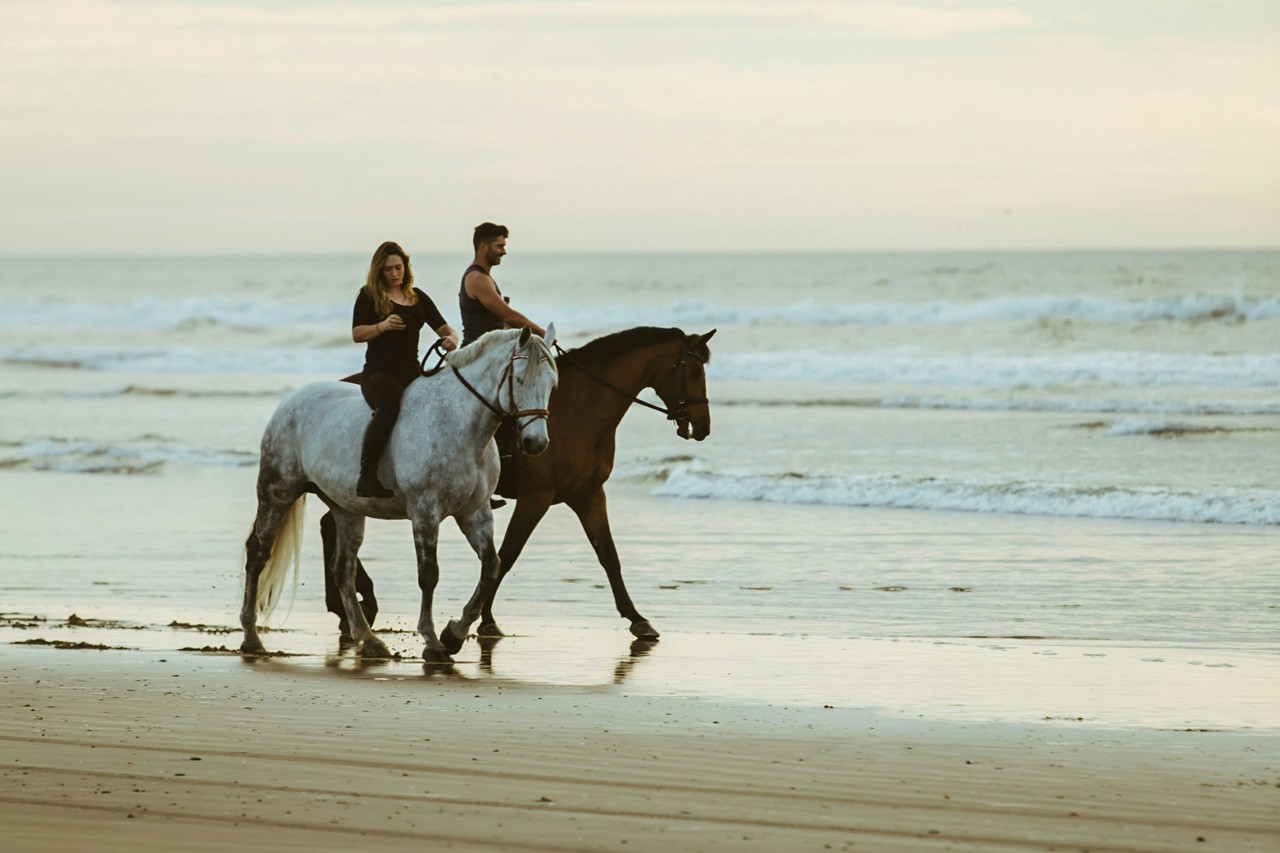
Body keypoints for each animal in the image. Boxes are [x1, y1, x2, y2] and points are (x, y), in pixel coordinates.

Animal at [240, 325, 558, 662]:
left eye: (552, 383)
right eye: (519, 379)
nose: (536, 443)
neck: (459, 423)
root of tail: (290, 402)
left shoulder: (475, 512)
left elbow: (491, 567)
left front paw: (454, 634)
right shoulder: (425, 511)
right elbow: (429, 574)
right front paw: (433, 642)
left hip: (346, 508)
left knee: (343, 569)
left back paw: (368, 639)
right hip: (277, 492)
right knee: (258, 553)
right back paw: (251, 637)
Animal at [320, 326, 715, 641]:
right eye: (695, 371)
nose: (703, 426)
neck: (582, 408)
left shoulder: (588, 494)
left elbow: (608, 556)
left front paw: (637, 619)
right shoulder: (536, 498)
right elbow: (508, 556)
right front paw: (482, 620)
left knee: (329, 526)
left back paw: (350, 606)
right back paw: (354, 605)